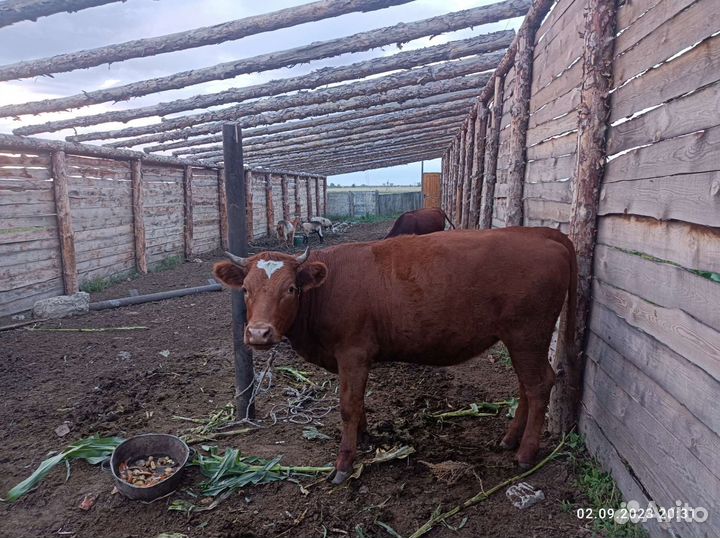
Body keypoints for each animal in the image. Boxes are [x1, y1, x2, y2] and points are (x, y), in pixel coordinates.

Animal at [213, 227, 577, 485]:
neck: (327, 287)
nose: (258, 333)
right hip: (521, 340)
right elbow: (358, 404)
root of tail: (541, 233)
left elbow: (348, 406)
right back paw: (510, 439)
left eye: (290, 289)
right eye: (245, 289)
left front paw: (344, 463)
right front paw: (363, 437)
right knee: (526, 386)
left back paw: (526, 453)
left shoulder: (353, 353)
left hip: (527, 334)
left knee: (539, 384)